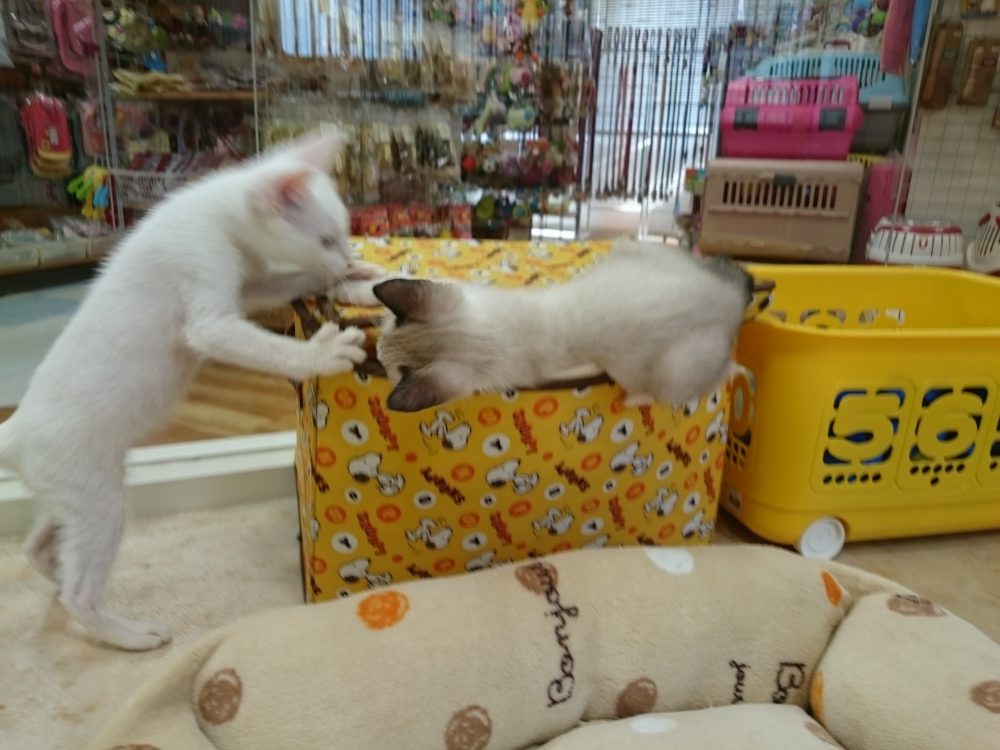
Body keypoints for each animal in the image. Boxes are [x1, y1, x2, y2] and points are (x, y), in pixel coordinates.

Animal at [0, 129, 383, 650]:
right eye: (326, 237)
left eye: (344, 234)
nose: (345, 253)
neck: (213, 210)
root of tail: (15, 430)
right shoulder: (207, 305)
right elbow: (255, 338)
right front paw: (324, 351)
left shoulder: (247, 288)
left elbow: (289, 280)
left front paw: (357, 277)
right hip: (96, 495)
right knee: (81, 591)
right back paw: (129, 633)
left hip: (70, 492)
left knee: (38, 544)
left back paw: (56, 576)